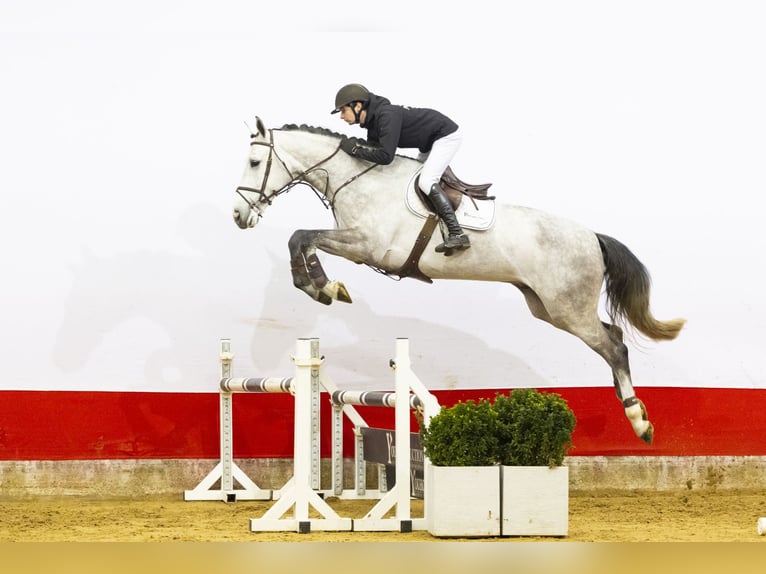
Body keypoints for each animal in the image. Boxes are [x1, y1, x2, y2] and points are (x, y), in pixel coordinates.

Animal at [232, 117, 686, 444]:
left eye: (254, 163)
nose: (239, 216)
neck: (358, 178)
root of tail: (592, 236)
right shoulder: (356, 244)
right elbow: (303, 239)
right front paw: (321, 286)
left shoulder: (367, 245)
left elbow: (301, 236)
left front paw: (324, 287)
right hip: (547, 307)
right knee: (612, 337)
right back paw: (632, 407)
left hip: (567, 308)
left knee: (614, 346)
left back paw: (638, 420)